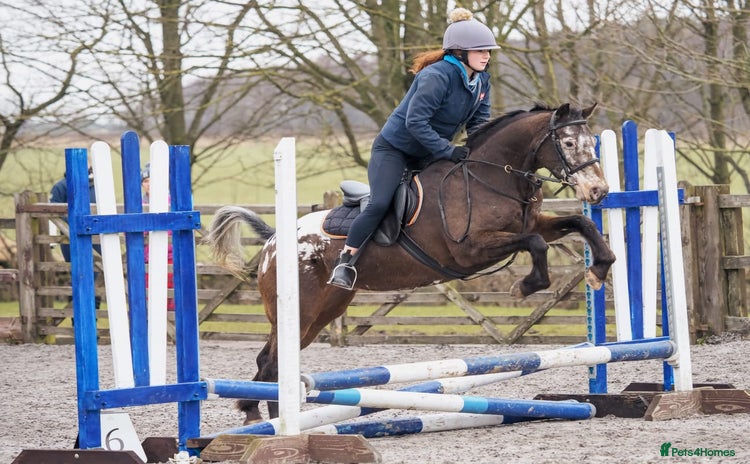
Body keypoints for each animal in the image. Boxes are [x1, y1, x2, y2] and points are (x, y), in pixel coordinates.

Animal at [205, 102, 616, 424]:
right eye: (567, 143)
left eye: (591, 142)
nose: (598, 191)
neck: (488, 177)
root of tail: (275, 239)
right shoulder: (470, 250)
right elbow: (535, 245)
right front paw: (525, 285)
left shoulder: (533, 225)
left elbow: (578, 224)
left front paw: (599, 269)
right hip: (299, 312)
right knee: (272, 362)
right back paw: (270, 421)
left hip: (324, 311)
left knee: (270, 362)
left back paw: (262, 416)